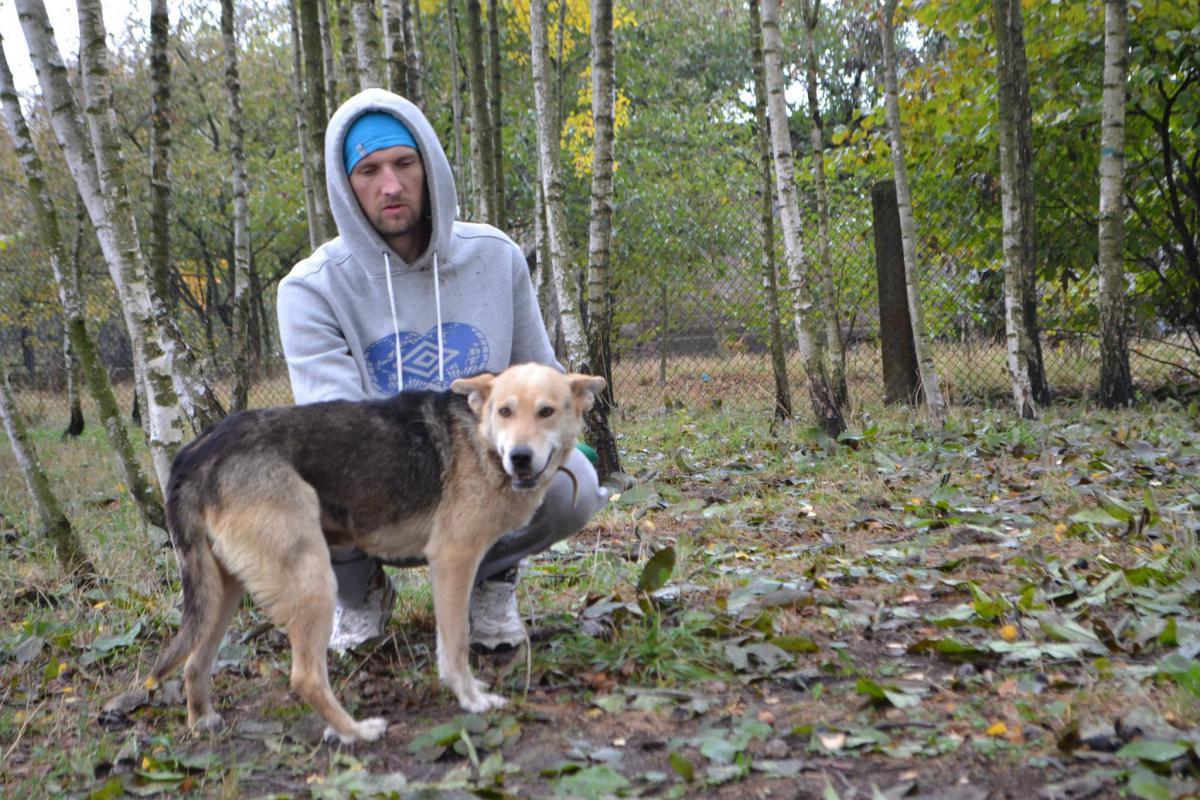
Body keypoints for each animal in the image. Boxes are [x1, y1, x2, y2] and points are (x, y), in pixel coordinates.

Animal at [143, 363, 605, 744]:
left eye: (546, 411)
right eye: (504, 412)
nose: (520, 459)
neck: (479, 438)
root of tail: (196, 454)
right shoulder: (452, 561)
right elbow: (455, 647)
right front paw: (471, 700)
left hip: (223, 589)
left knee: (194, 662)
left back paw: (201, 720)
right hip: (311, 581)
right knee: (305, 677)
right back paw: (355, 732)